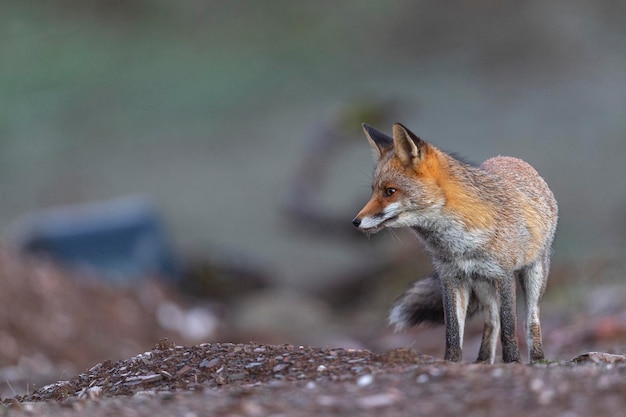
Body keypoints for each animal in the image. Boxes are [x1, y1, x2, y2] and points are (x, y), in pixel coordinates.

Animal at [352, 122, 556, 362]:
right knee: (492, 321)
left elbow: (509, 327)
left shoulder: (504, 275)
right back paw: (483, 361)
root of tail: (512, 159)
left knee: (530, 320)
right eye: (374, 191)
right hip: (481, 284)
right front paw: (451, 362)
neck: (459, 246)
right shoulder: (451, 277)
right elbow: (453, 332)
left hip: (534, 274)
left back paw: (537, 359)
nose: (355, 222)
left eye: (390, 191)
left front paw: (513, 361)